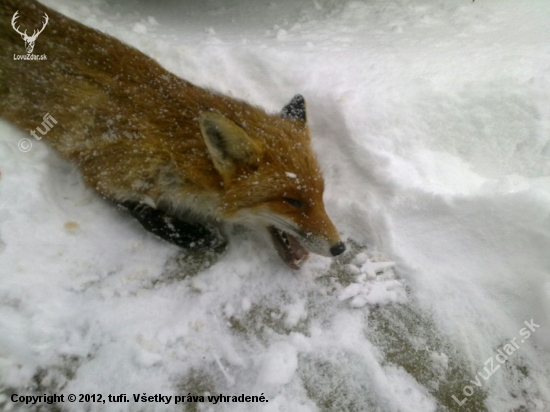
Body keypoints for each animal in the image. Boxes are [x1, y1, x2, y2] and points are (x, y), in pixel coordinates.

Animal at [0, 0, 344, 268]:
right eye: (292, 201)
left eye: (321, 195)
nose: (340, 248)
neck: (174, 145)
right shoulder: (103, 168)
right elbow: (144, 212)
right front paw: (197, 235)